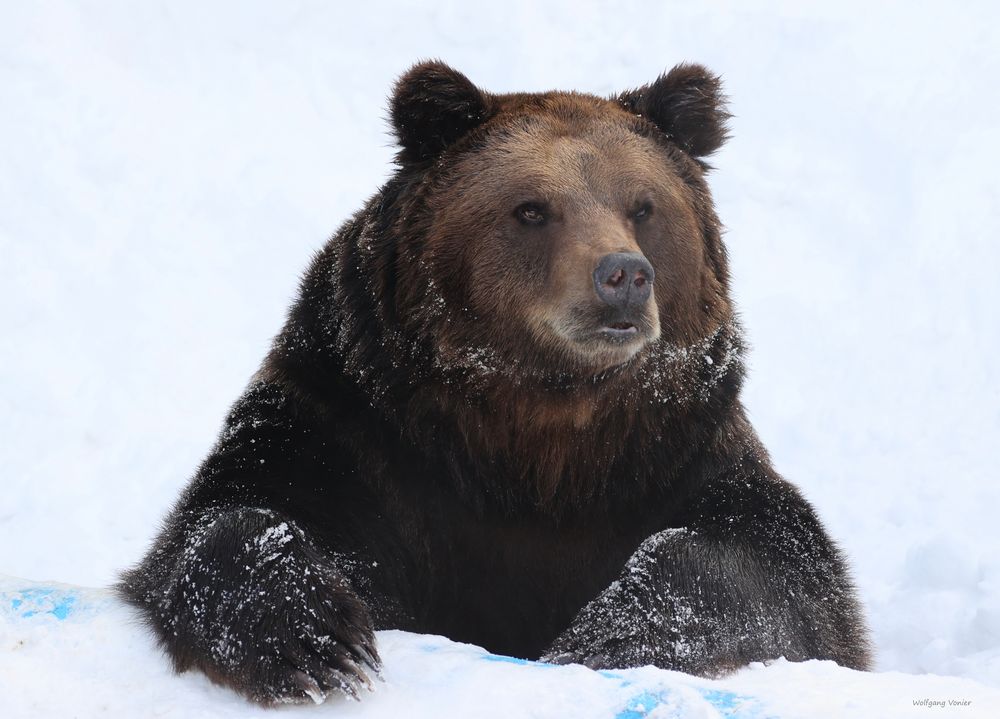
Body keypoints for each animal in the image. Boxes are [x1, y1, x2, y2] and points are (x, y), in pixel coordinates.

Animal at [115, 60, 868, 704]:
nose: (623, 275)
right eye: (532, 209)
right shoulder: (358, 430)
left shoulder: (668, 452)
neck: (530, 433)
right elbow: (237, 512)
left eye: (643, 205)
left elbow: (775, 566)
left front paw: (605, 636)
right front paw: (319, 640)